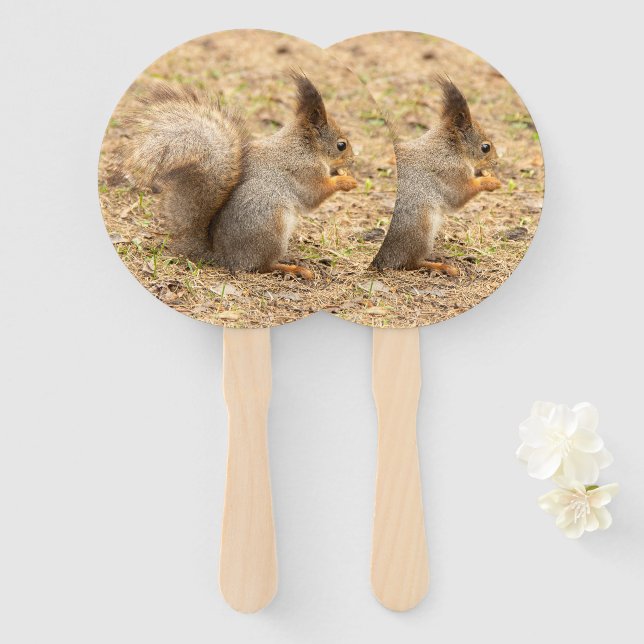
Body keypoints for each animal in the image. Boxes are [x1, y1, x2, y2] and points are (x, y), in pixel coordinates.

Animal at [121, 72, 358, 279]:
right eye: (341, 145)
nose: (353, 161)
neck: (304, 147)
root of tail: (224, 257)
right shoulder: (304, 171)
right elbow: (314, 196)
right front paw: (346, 181)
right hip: (271, 225)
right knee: (261, 266)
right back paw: (293, 269)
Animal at [372, 76, 501, 276]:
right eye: (485, 147)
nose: (496, 162)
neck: (448, 149)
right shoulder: (449, 172)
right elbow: (459, 196)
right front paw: (490, 181)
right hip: (420, 227)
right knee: (409, 263)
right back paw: (441, 266)